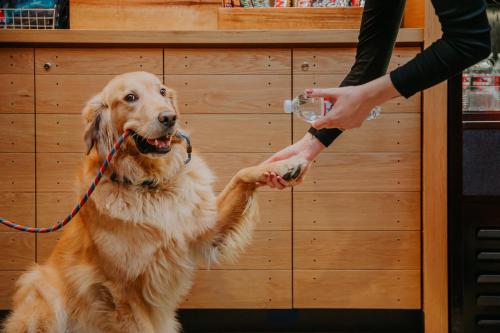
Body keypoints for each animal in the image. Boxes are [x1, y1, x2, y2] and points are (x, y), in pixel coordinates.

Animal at [2, 71, 304, 330]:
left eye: (161, 91)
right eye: (130, 97)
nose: (170, 117)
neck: (151, 185)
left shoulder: (205, 229)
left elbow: (242, 174)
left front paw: (285, 164)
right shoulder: (124, 289)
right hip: (42, 291)